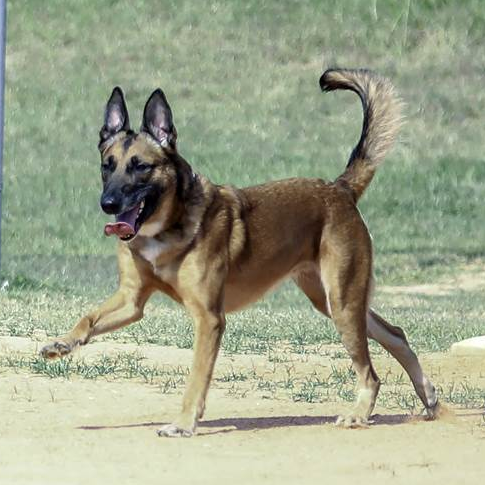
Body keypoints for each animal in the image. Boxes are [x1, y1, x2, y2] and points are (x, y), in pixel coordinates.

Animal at [40, 68, 438, 434]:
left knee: (370, 372)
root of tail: (339, 189)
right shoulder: (131, 300)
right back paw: (428, 396)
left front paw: (183, 423)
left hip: (341, 302)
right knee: (396, 334)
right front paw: (62, 344)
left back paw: (359, 415)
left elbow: (196, 378)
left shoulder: (209, 319)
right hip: (331, 300)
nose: (107, 204)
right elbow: (88, 318)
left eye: (140, 167)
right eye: (107, 166)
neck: (167, 226)